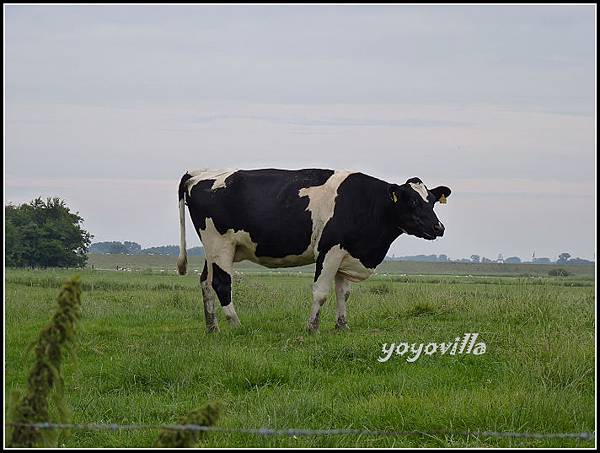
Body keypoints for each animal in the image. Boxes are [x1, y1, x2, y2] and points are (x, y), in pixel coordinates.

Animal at [175, 170, 450, 332]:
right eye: (412, 200)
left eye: (432, 201)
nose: (439, 227)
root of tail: (199, 173)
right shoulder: (330, 250)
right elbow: (321, 292)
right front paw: (312, 327)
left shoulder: (345, 253)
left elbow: (343, 293)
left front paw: (342, 326)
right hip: (220, 244)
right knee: (221, 283)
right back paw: (236, 325)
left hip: (214, 250)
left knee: (206, 282)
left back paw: (212, 327)